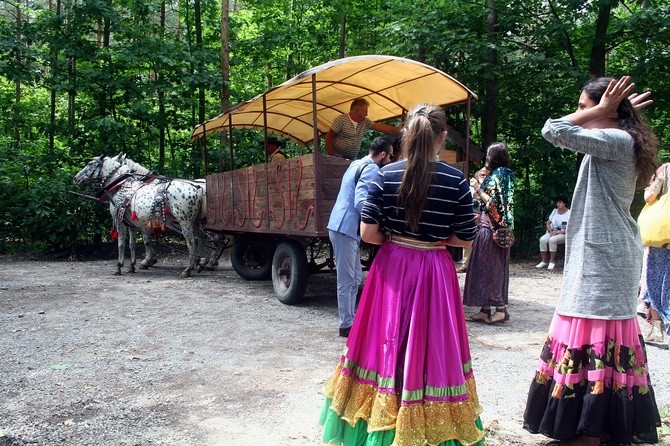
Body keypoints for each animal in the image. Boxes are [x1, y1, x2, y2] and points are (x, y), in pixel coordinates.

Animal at [75, 155, 214, 278]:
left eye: (90, 164)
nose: (75, 178)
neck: (121, 186)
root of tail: (197, 188)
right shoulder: (131, 224)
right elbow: (132, 244)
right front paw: (132, 266)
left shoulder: (121, 222)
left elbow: (122, 244)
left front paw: (120, 266)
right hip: (195, 222)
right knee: (203, 238)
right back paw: (200, 264)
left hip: (185, 222)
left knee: (193, 242)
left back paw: (190, 268)